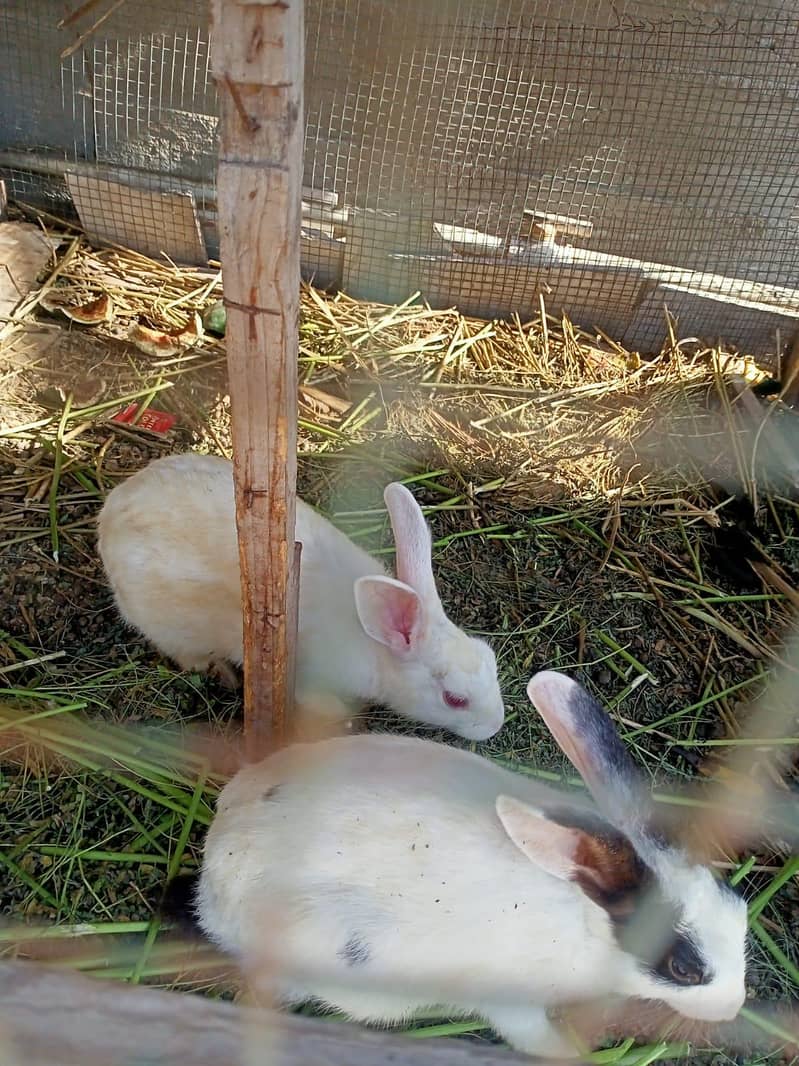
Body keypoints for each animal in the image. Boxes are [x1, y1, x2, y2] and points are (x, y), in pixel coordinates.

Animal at [97, 452, 504, 740]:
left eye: (490, 658)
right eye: (454, 699)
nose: (495, 726)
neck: (374, 644)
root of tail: (109, 516)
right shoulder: (310, 679)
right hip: (174, 630)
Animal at [166, 670, 748, 1058]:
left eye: (740, 907)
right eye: (684, 969)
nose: (735, 1007)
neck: (583, 919)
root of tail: (217, 856)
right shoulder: (512, 1005)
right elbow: (535, 1037)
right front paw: (573, 1053)